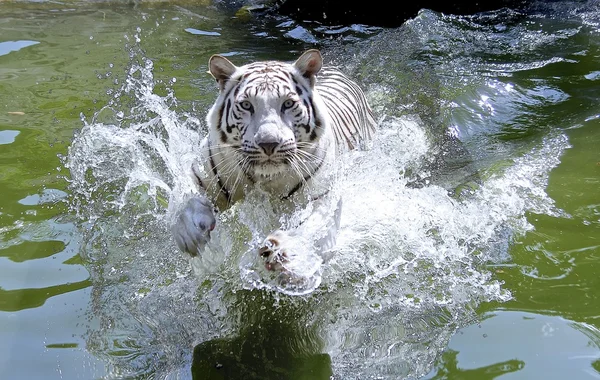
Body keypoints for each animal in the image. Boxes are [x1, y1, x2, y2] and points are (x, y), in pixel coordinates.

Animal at [171, 49, 376, 274]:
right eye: (246, 105)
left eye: (288, 103)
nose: (268, 143)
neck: (265, 178)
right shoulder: (203, 177)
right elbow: (185, 203)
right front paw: (189, 234)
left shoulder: (324, 195)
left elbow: (316, 227)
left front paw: (287, 252)